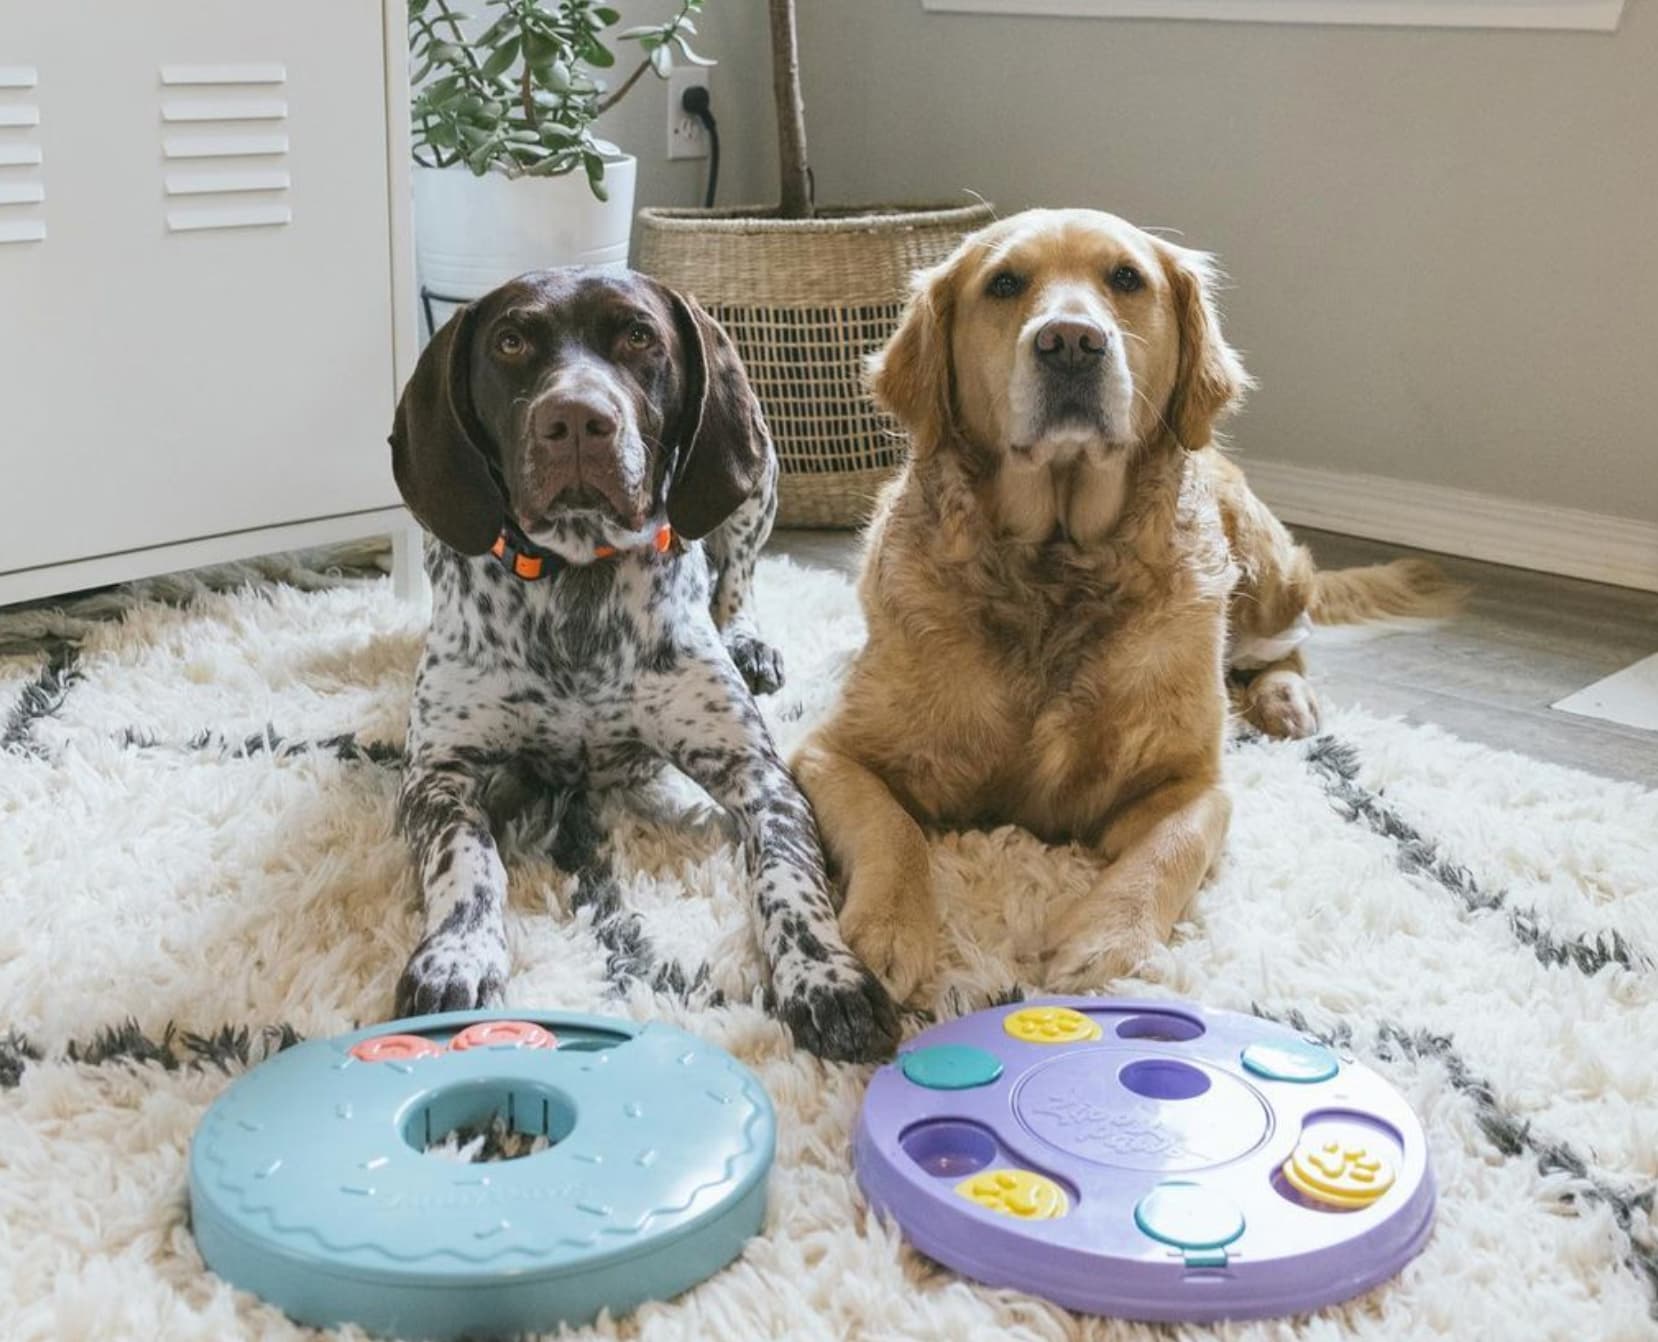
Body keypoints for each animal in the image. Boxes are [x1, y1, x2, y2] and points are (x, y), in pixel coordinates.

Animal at [386, 270, 901, 1055]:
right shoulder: (438, 777)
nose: (575, 420)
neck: (576, 580)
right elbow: (467, 860)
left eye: (637, 336)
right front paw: (456, 954)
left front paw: (824, 975)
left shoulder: (759, 776)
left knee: (737, 575)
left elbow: (788, 876)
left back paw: (748, 640)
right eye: (511, 341)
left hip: (756, 480)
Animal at [789, 209, 1452, 1001]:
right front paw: (891, 927)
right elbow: (894, 832)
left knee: (1289, 645)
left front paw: (1104, 940)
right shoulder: (833, 751)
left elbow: (1170, 849)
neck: (1058, 564)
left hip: (1268, 582)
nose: (1071, 342)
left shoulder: (1193, 783)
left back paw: (1285, 699)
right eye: (1004, 284)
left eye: (1127, 279)